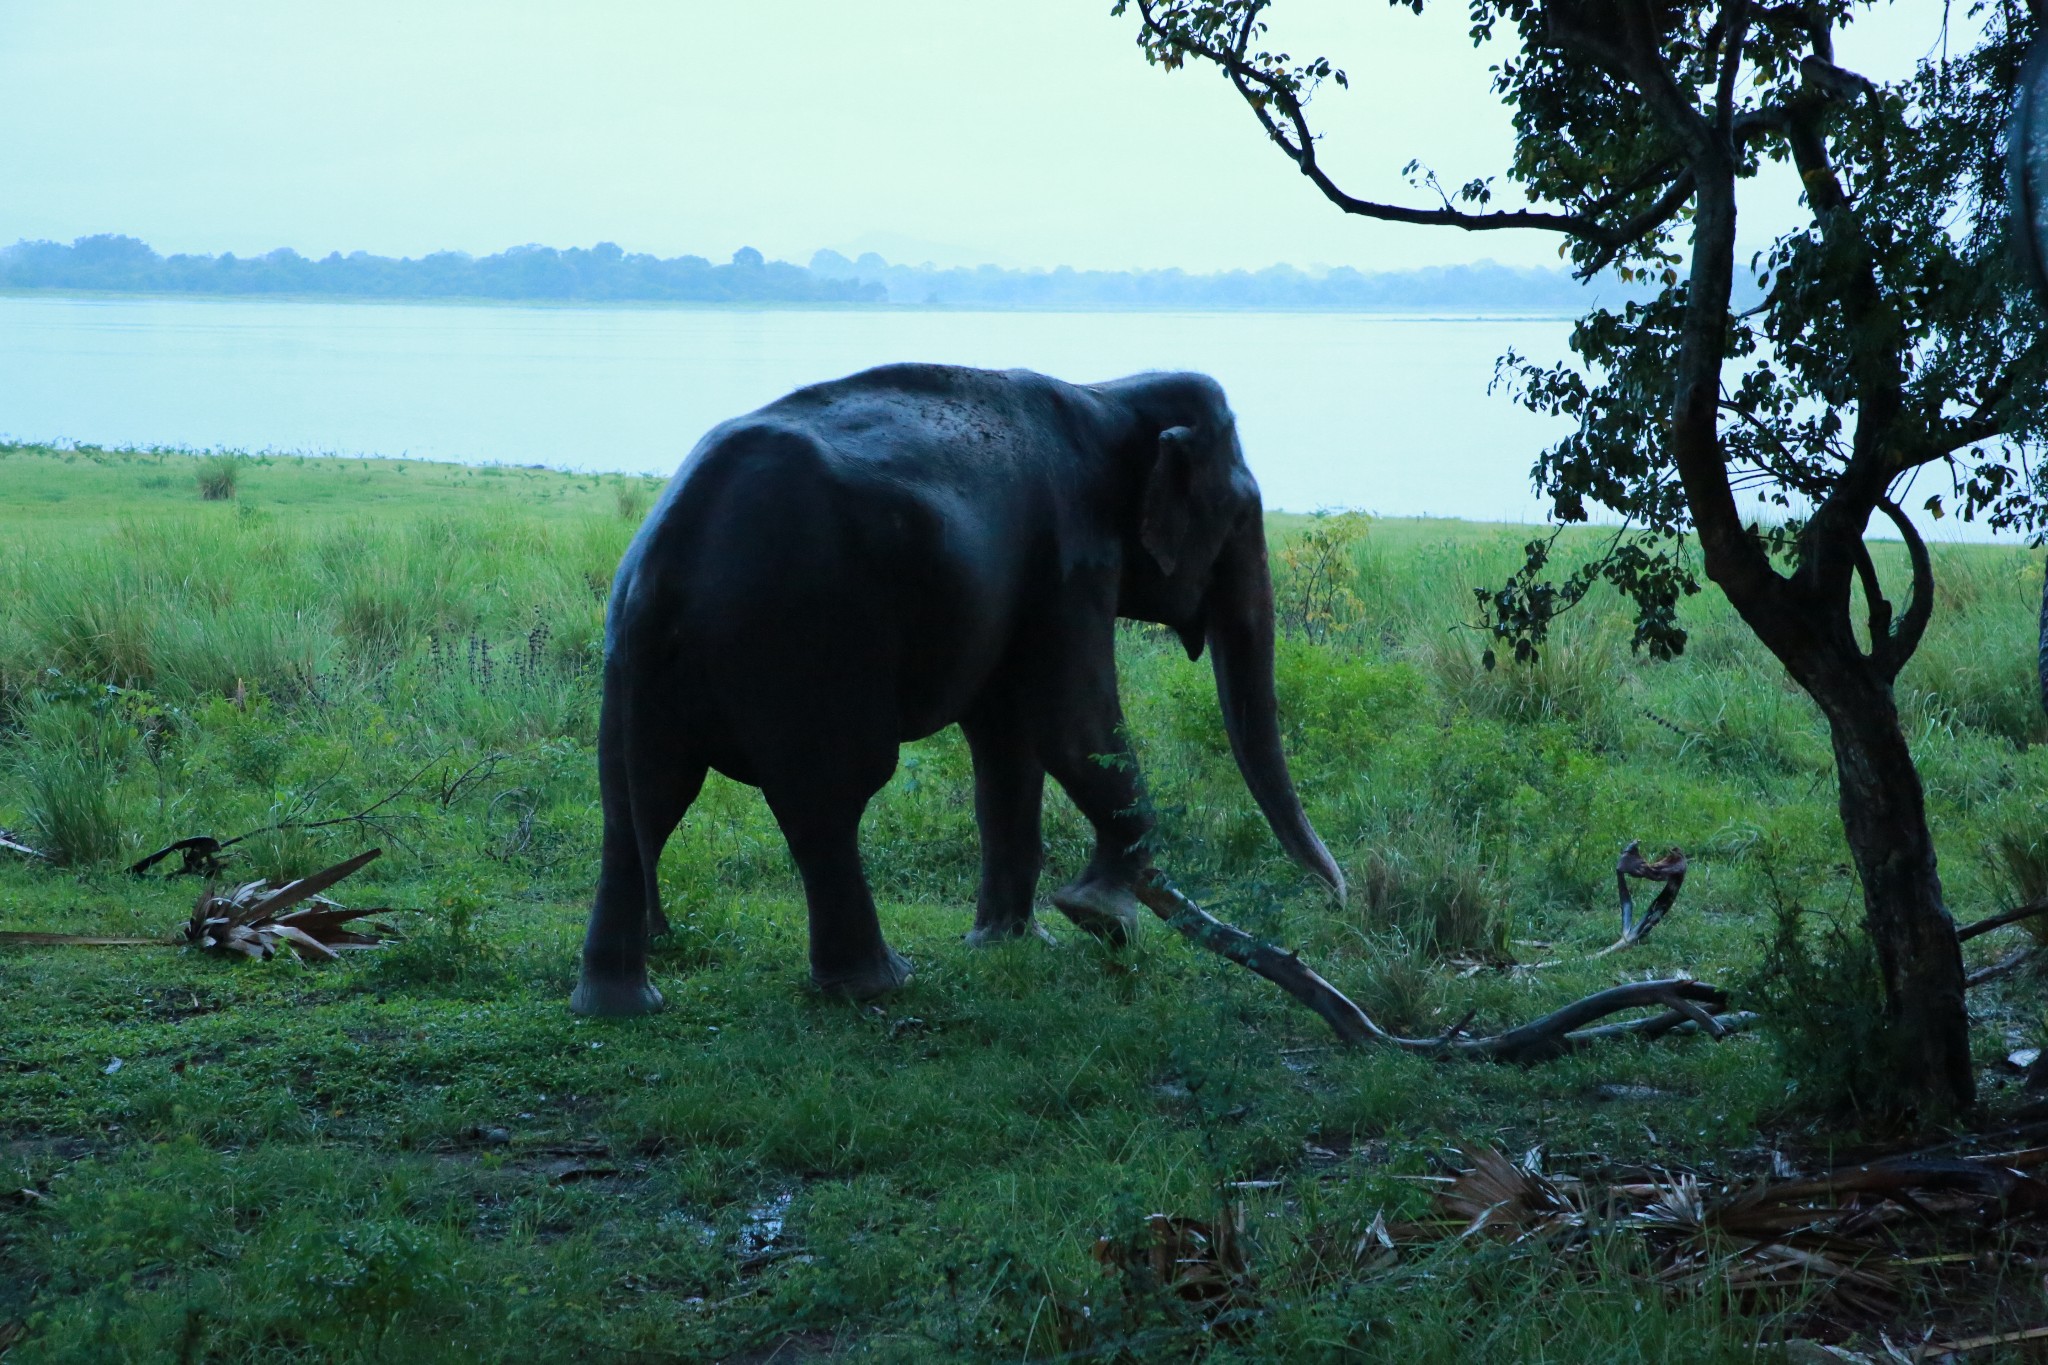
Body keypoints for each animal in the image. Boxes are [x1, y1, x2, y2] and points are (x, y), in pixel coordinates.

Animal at [569, 362, 1351, 1015]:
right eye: (1241, 513)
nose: (1338, 900)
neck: (1108, 392)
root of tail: (671, 551)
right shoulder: (1069, 563)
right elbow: (1072, 726)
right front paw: (1099, 915)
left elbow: (1009, 743)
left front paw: (1016, 942)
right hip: (805, 644)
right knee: (828, 796)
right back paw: (878, 984)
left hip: (633, 663)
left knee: (639, 801)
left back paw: (617, 1005)